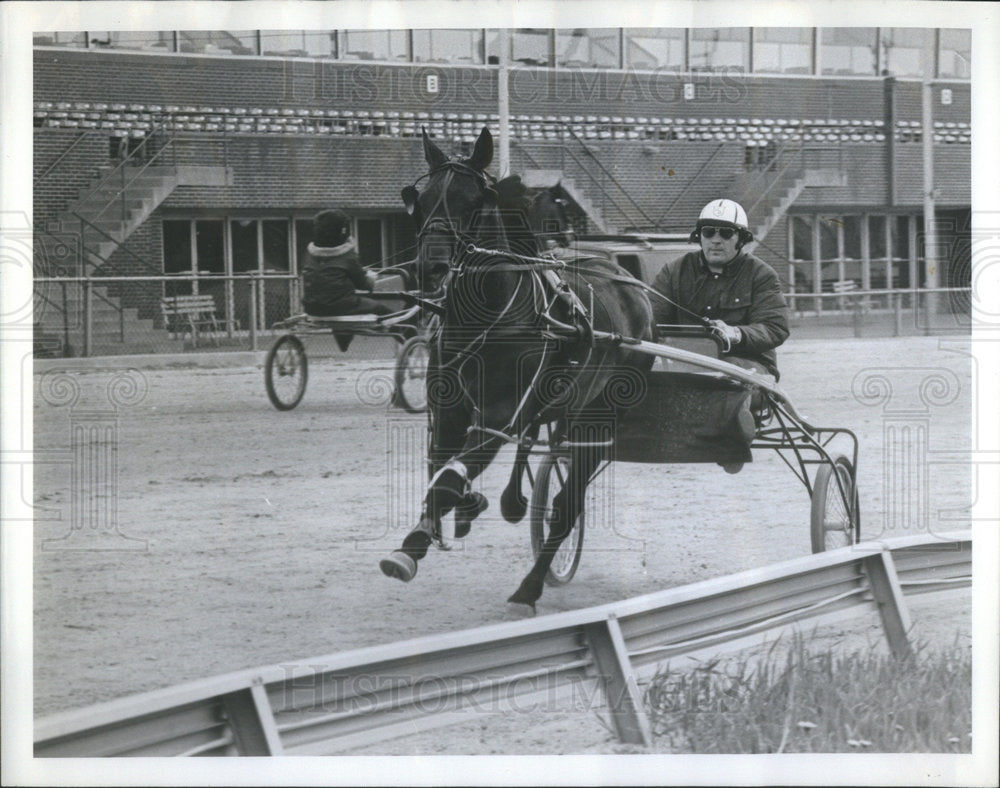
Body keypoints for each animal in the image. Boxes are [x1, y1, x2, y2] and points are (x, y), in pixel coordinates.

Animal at [378, 126, 652, 616]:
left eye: (472, 202)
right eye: (420, 199)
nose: (431, 267)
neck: (486, 317)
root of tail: (630, 284)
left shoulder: (499, 416)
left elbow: (449, 477)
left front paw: (409, 548)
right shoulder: (448, 413)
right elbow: (441, 471)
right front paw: (448, 518)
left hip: (599, 419)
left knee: (566, 506)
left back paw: (530, 587)